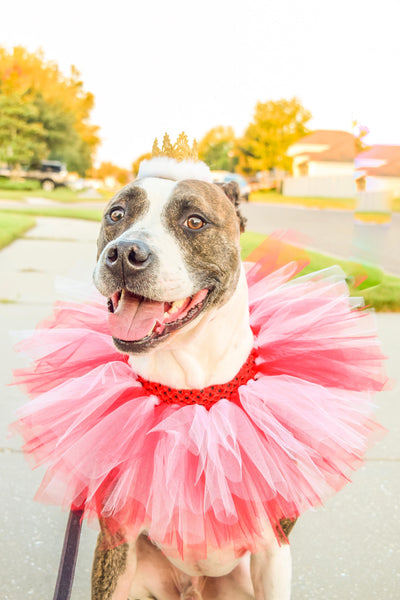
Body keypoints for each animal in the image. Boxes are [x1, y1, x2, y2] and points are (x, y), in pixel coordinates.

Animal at [92, 157, 296, 596]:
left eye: (195, 222)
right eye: (116, 214)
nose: (124, 253)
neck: (190, 390)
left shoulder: (273, 549)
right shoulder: (117, 537)